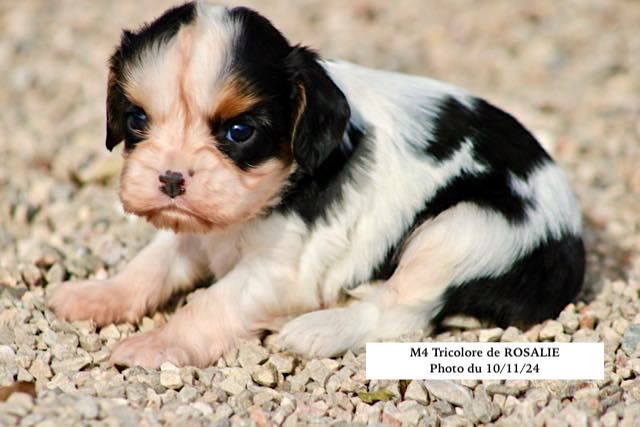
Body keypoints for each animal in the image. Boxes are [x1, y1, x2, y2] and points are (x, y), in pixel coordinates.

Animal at [47, 1, 584, 370]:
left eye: (239, 132)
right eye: (137, 120)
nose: (171, 178)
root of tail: (573, 236)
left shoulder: (281, 269)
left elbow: (213, 300)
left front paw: (159, 343)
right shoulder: (195, 232)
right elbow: (151, 263)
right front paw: (97, 296)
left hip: (462, 230)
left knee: (401, 312)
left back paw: (314, 329)